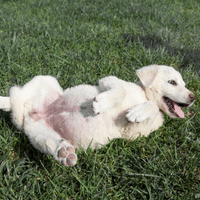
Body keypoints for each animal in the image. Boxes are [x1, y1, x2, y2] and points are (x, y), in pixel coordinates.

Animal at [0, 65, 195, 166]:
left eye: (184, 84)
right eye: (172, 82)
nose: (193, 97)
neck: (144, 95)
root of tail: (29, 116)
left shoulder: (134, 133)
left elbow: (151, 108)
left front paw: (138, 112)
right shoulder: (108, 80)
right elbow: (121, 90)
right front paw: (102, 103)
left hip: (39, 133)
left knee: (48, 141)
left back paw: (64, 152)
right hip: (45, 80)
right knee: (16, 97)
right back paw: (4, 101)